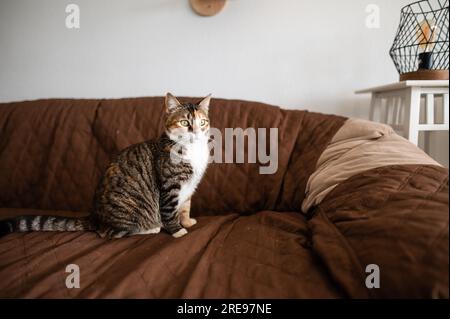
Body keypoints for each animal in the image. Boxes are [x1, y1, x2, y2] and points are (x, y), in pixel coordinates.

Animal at [0, 94, 212, 239]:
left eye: (202, 122)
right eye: (184, 122)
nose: (196, 132)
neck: (192, 151)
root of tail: (95, 216)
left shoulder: (188, 187)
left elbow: (184, 207)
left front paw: (187, 222)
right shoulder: (169, 186)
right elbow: (169, 211)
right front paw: (177, 231)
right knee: (111, 233)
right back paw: (150, 228)